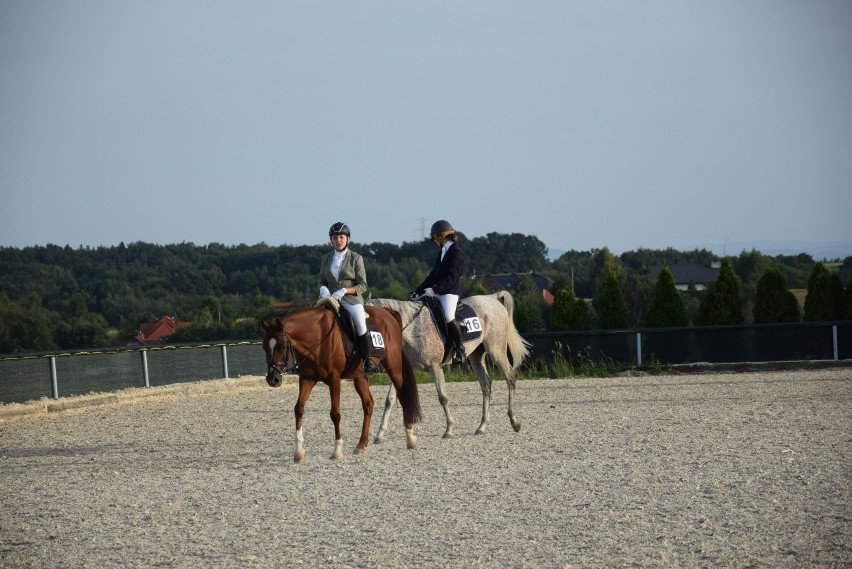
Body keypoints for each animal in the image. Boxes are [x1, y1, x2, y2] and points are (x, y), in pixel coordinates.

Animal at [260, 300, 420, 460]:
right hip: (359, 375)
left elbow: (335, 414)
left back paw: (410, 438)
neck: (317, 337)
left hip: (393, 367)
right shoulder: (307, 378)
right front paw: (298, 452)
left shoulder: (334, 379)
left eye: (282, 346)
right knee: (368, 404)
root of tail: (388, 312)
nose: (272, 379)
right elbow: (298, 409)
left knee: (402, 396)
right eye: (264, 347)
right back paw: (361, 445)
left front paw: (337, 451)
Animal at [368, 290, 528, 438]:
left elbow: (443, 397)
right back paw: (482, 426)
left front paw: (449, 429)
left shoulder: (435, 366)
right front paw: (379, 434)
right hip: (476, 356)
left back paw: (514, 421)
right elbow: (390, 400)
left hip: (496, 350)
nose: (369, 364)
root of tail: (492, 298)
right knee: (486, 385)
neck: (412, 329)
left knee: (510, 377)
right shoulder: (402, 369)